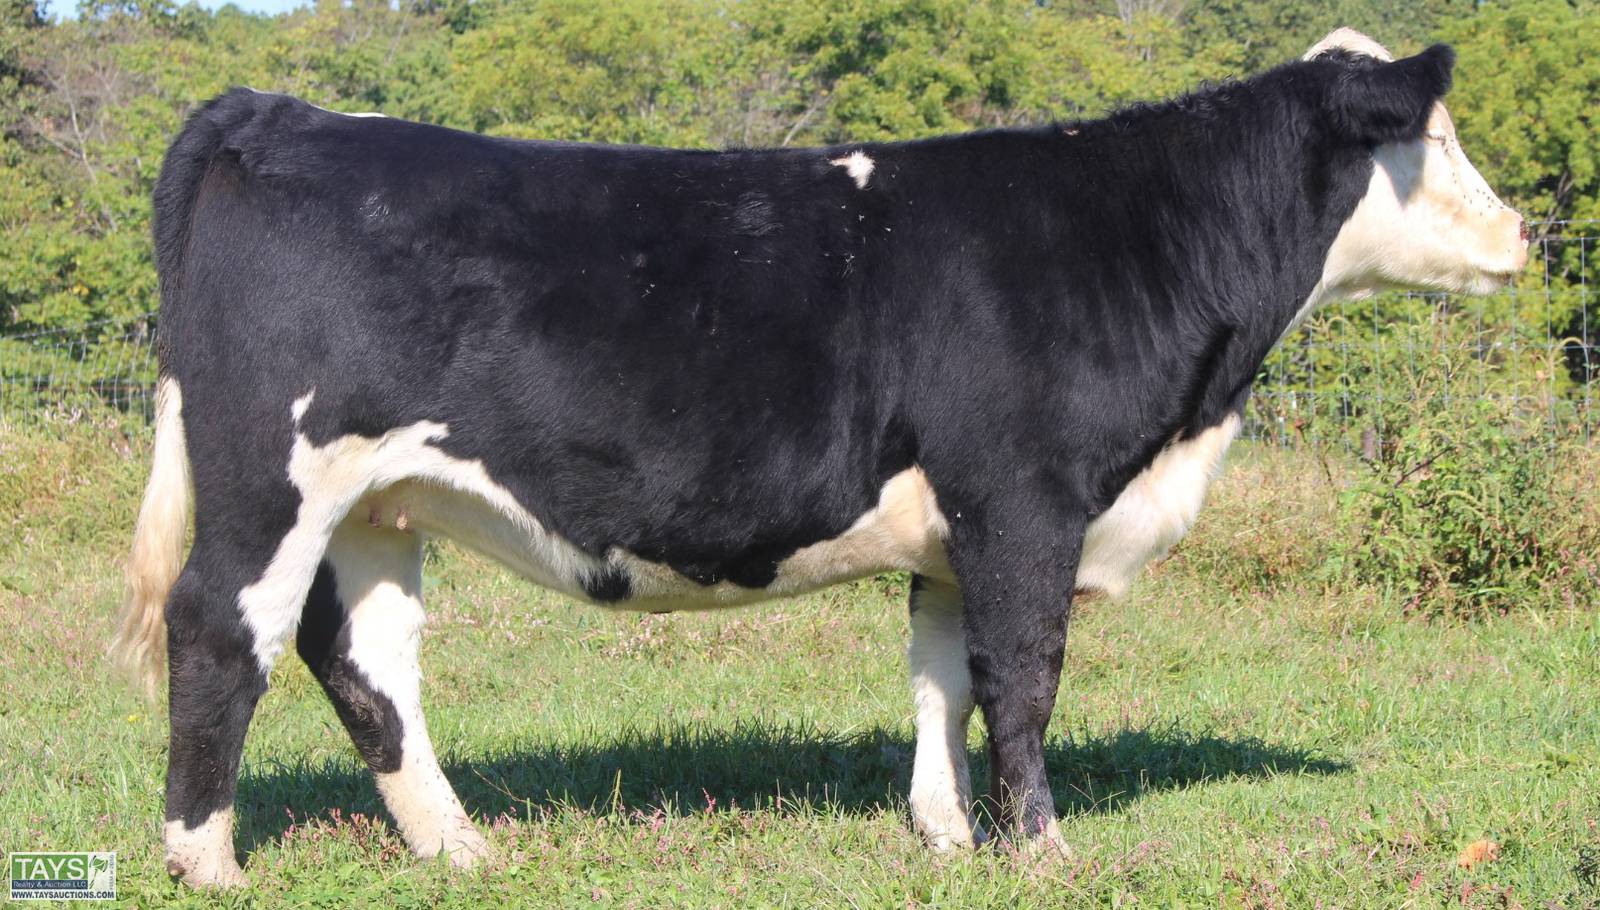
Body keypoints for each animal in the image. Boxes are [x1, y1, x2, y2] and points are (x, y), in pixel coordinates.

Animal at [112, 28, 1528, 886]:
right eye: (1435, 139)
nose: (1526, 231)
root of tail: (273, 111)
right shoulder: (1024, 497)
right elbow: (1022, 678)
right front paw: (1042, 851)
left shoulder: (953, 528)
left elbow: (940, 679)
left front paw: (945, 835)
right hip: (270, 476)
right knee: (221, 626)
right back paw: (205, 859)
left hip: (379, 501)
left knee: (364, 658)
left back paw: (459, 848)